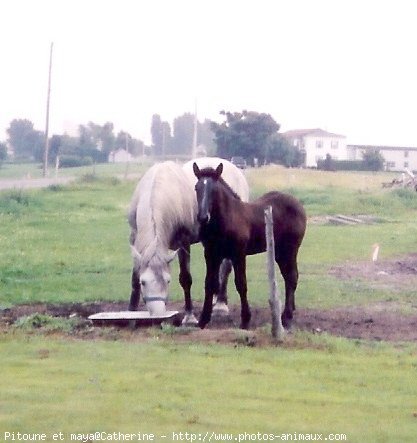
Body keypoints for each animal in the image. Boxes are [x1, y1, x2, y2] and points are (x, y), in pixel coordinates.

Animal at [128, 158, 249, 324]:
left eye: (168, 281)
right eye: (143, 282)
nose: (158, 315)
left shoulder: (183, 242)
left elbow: (185, 278)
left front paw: (190, 316)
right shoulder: (135, 237)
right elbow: (134, 277)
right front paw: (131, 312)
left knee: (226, 267)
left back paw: (220, 305)